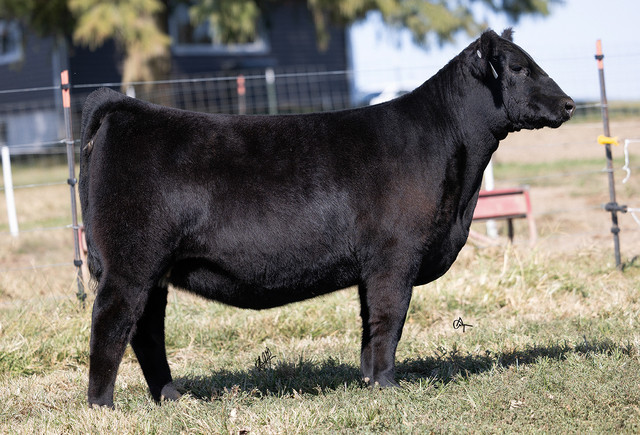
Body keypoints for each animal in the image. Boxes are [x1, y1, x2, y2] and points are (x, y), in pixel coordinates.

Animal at [79, 28, 574, 408]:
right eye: (518, 68)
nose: (569, 103)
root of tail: (126, 106)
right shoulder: (395, 257)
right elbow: (389, 322)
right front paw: (388, 386)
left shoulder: (371, 266)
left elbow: (369, 327)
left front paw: (369, 382)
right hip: (131, 263)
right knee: (111, 324)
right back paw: (103, 407)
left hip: (154, 272)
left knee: (146, 333)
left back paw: (171, 398)